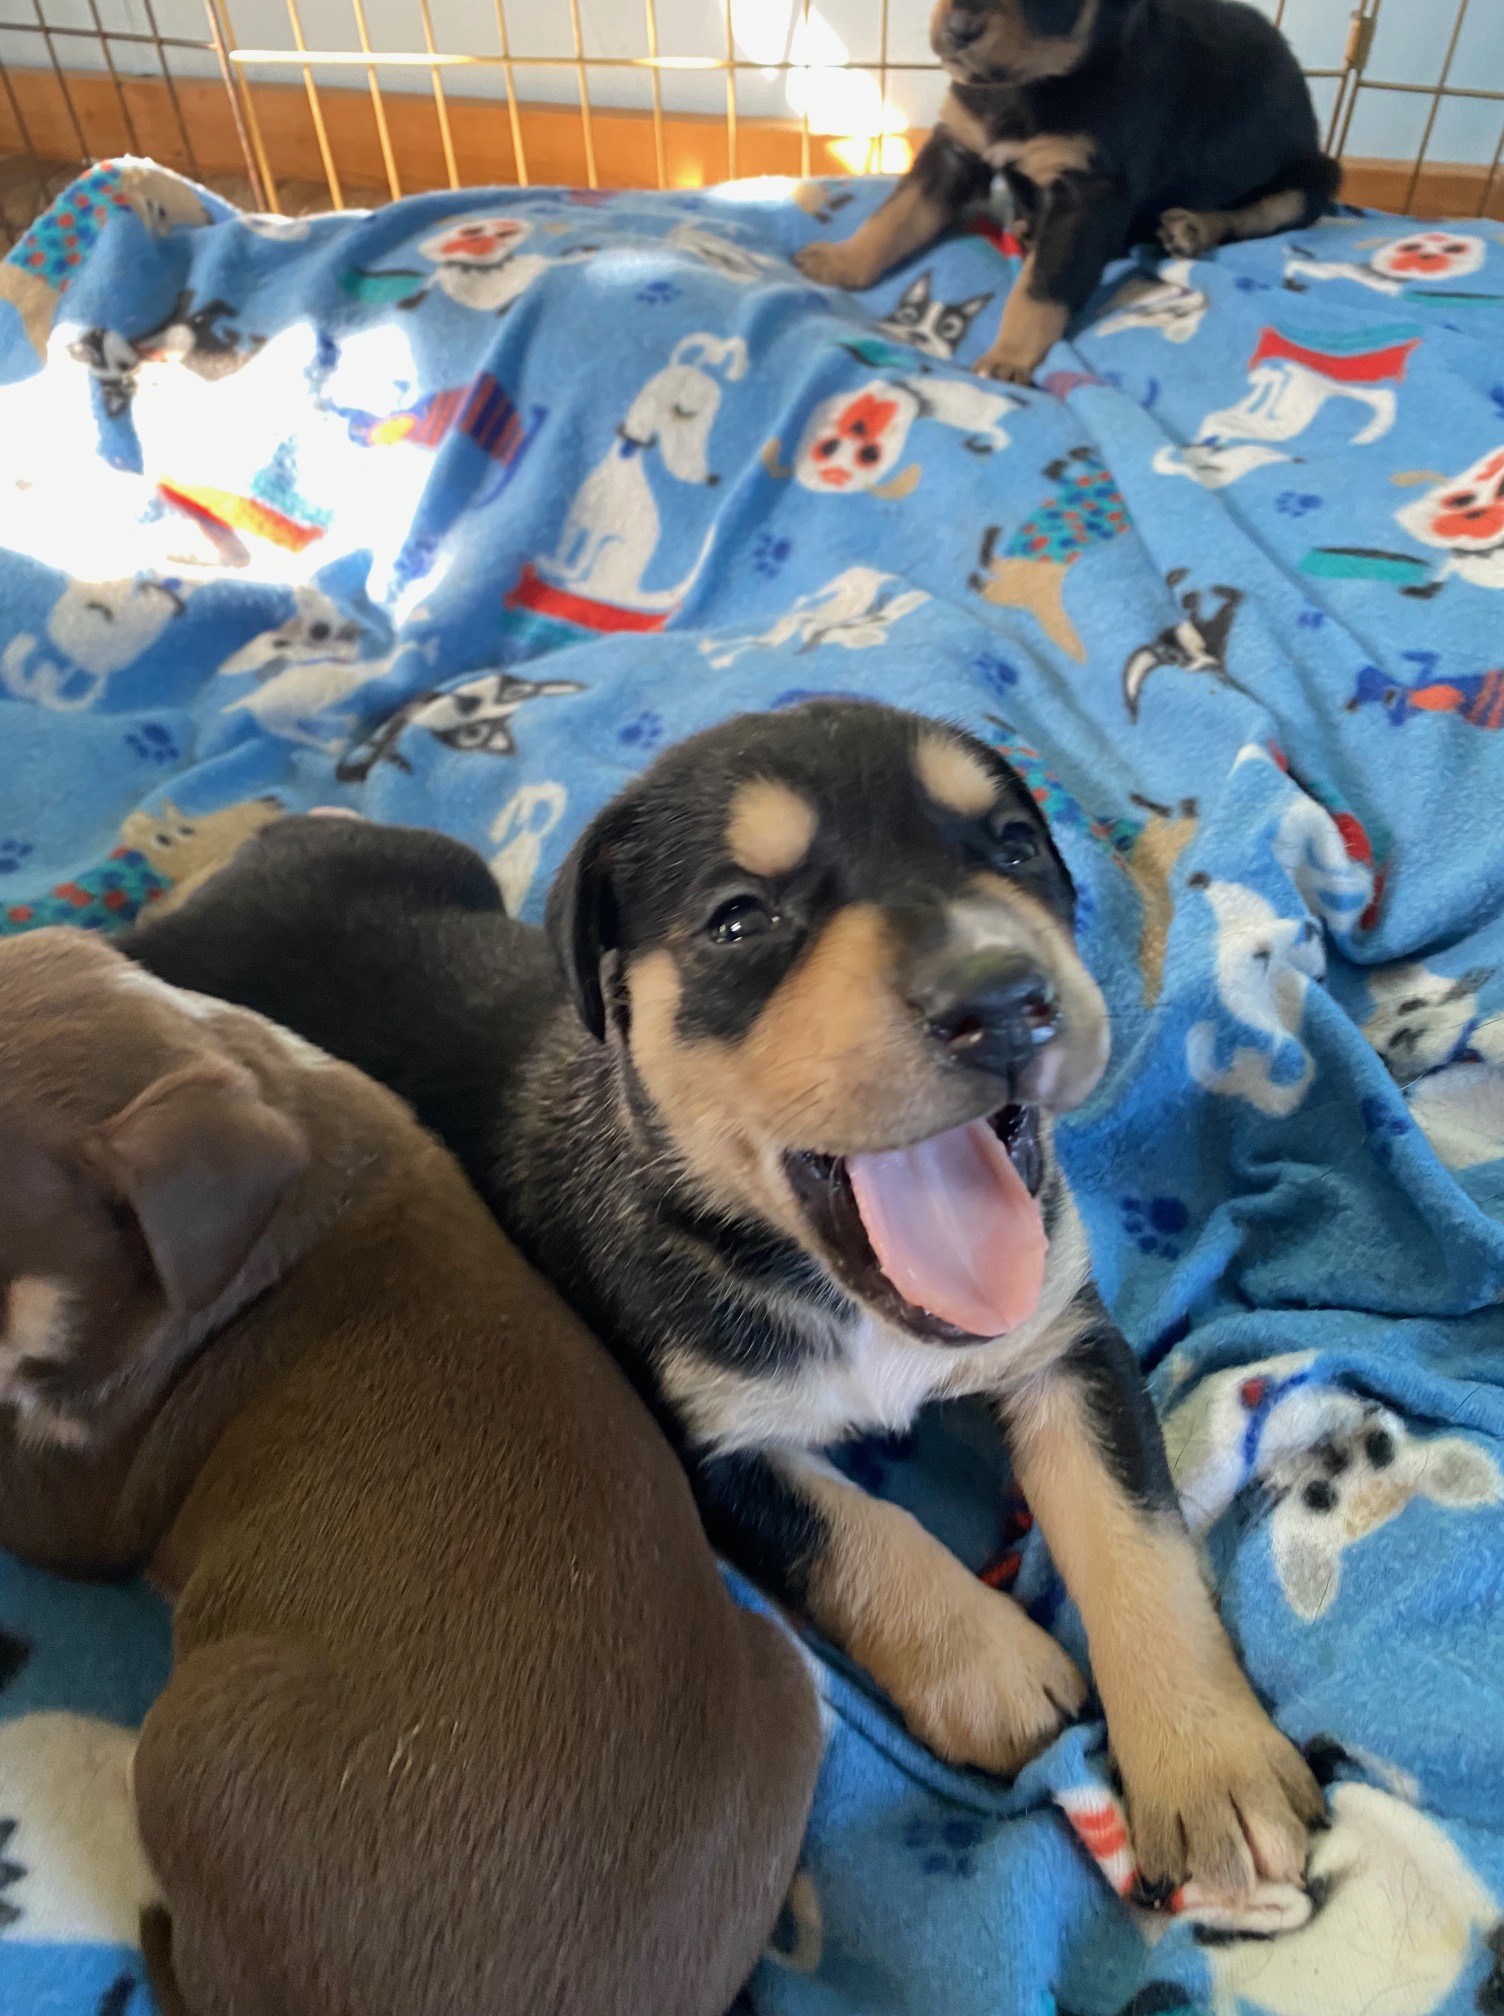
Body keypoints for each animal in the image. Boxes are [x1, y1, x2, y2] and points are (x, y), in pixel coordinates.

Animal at [126, 699, 1324, 1909]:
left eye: (1015, 847)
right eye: (739, 921)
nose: (999, 1002)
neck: (817, 1278)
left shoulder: (1062, 1342)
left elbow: (1135, 1537)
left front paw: (1211, 1771)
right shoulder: (694, 1436)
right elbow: (855, 1534)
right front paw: (994, 1670)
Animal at [793, 0, 1339, 384]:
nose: (959, 29)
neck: (1033, 85)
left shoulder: (1088, 193)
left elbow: (1041, 286)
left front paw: (1008, 359)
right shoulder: (956, 146)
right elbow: (896, 216)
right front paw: (840, 261)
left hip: (1314, 175)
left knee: (1258, 210)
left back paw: (1193, 226)